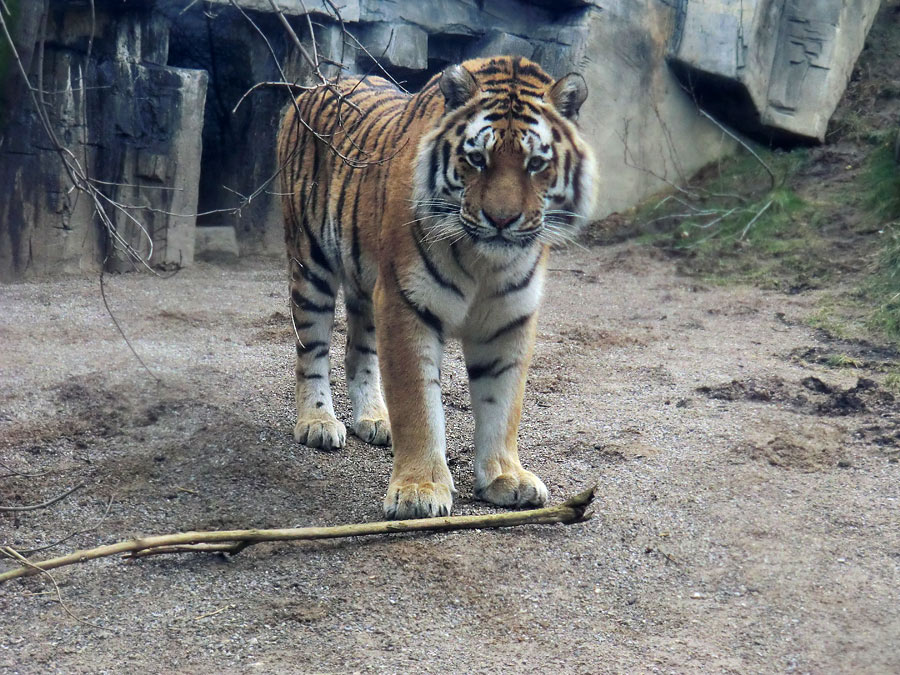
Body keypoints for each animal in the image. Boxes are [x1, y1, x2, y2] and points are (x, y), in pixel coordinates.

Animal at [274, 56, 596, 524]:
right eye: (477, 159)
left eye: (536, 164)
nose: (502, 220)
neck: (485, 261)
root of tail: (316, 86)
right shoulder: (406, 304)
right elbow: (418, 405)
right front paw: (419, 490)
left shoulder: (509, 318)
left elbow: (504, 403)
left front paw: (506, 477)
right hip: (310, 262)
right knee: (311, 348)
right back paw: (316, 423)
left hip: (367, 281)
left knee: (358, 350)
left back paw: (374, 419)